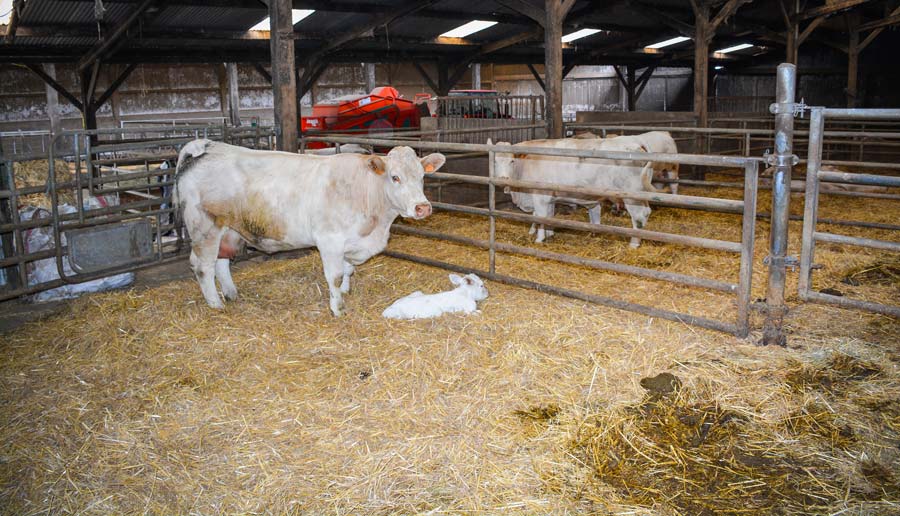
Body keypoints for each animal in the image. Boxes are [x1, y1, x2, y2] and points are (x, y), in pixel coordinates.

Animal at [174, 139, 444, 314]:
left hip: (229, 228)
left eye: (422, 176)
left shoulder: (351, 243)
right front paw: (338, 307)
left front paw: (345, 292)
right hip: (204, 228)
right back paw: (216, 304)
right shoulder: (330, 240)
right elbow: (335, 275)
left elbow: (348, 270)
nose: (422, 207)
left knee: (221, 262)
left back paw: (230, 294)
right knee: (203, 266)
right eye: (395, 177)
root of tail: (208, 148)